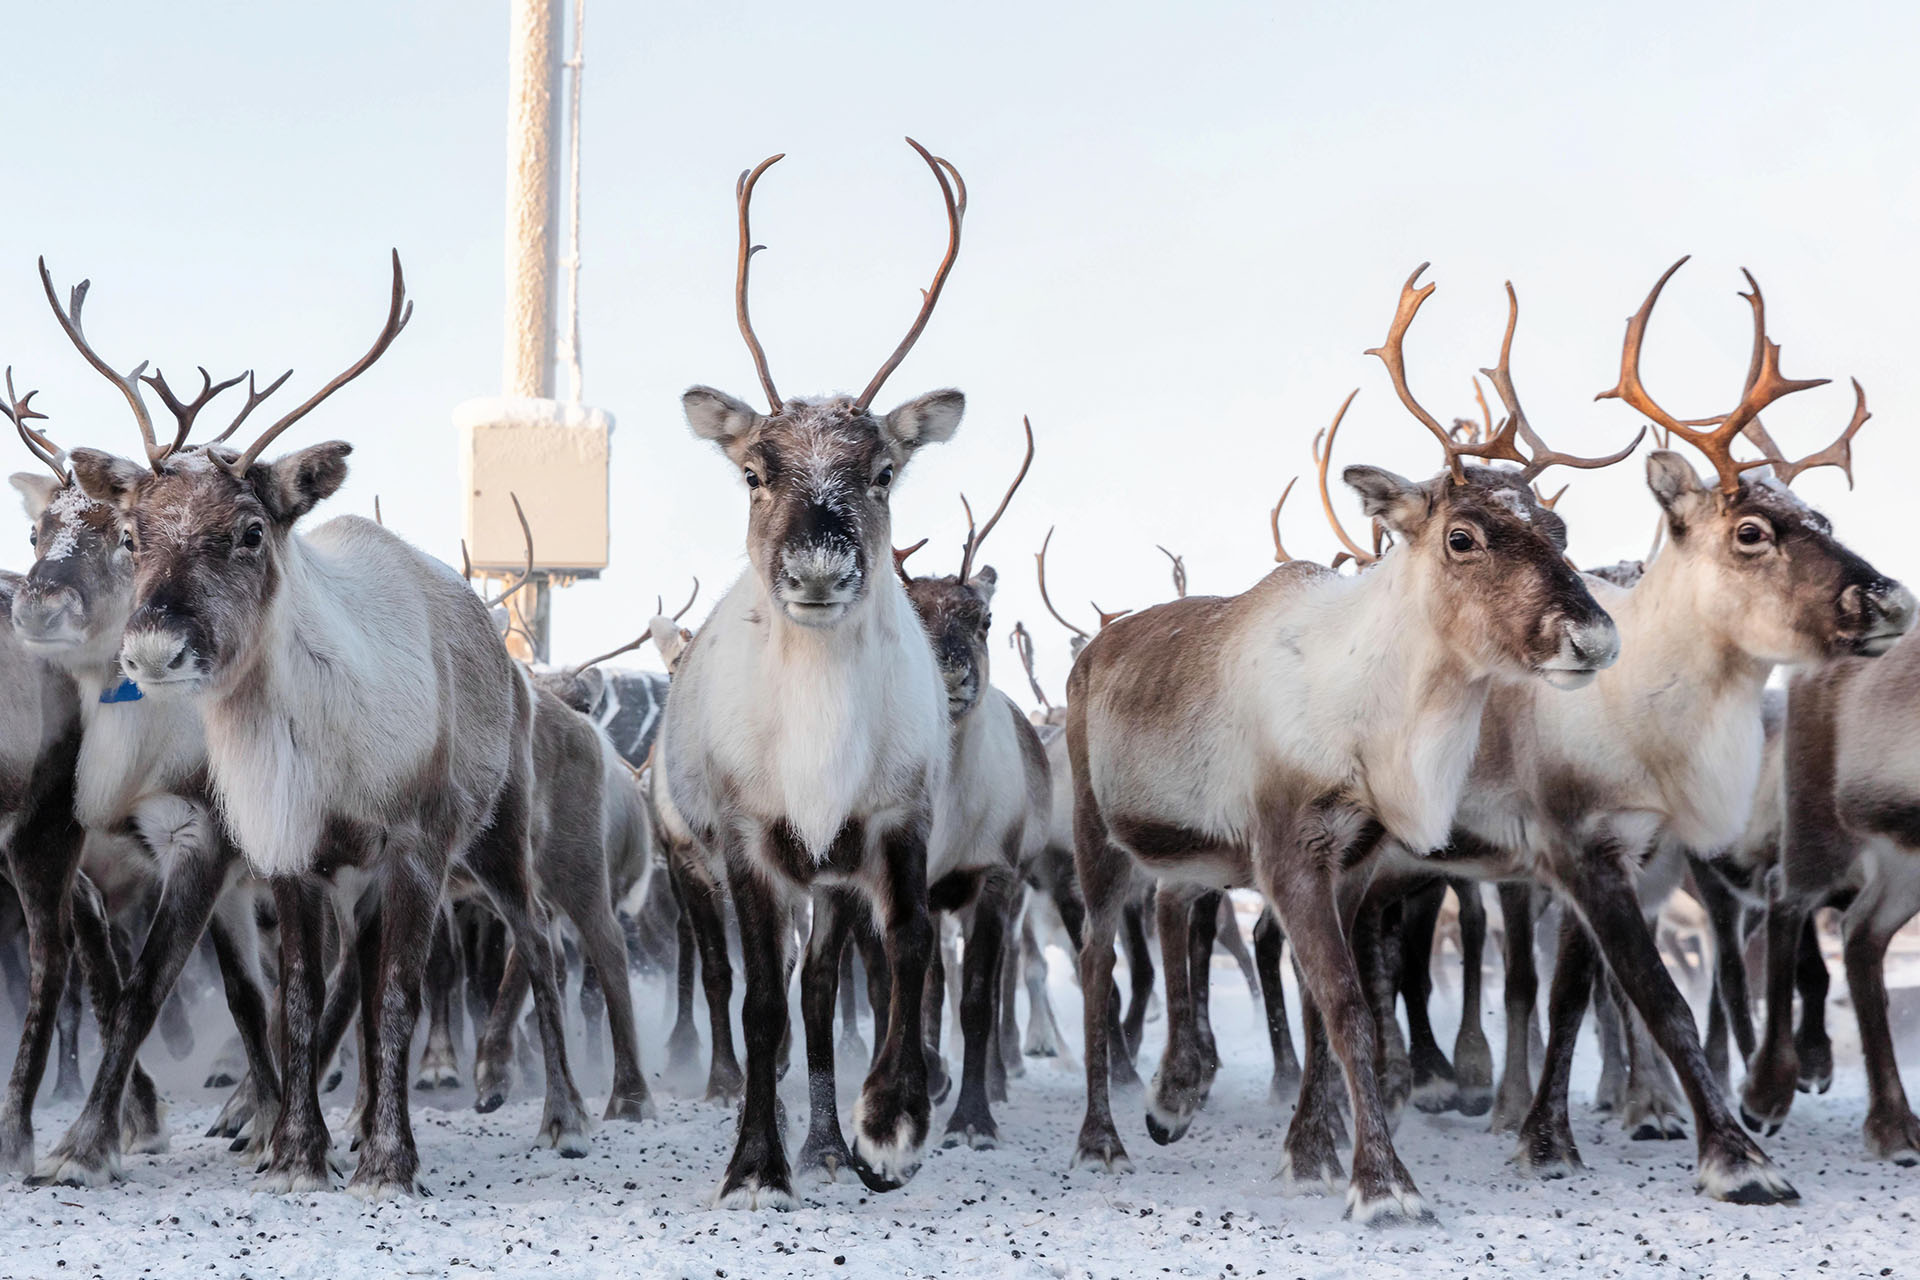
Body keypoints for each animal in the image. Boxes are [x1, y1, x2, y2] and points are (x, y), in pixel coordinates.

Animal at [64, 252, 595, 1196]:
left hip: (497, 834)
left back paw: (562, 1118)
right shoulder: (290, 855)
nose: (153, 646)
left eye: (249, 530)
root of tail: (512, 662)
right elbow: (303, 1000)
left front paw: (389, 1159)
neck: (323, 744)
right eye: (131, 533)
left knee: (537, 942)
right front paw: (298, 1152)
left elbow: (398, 996)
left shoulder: (415, 846)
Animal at [658, 138, 972, 1208]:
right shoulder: (750, 837)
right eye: (755, 471)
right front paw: (755, 1164)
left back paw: (831, 1142)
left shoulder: (893, 821)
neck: (819, 747)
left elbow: (903, 954)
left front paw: (891, 1124)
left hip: (828, 883)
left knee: (827, 986)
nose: (819, 569)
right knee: (770, 992)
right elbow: (761, 1005)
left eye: (883, 471)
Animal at [1064, 263, 1627, 1224]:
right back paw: (1103, 1137)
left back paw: (1172, 1100)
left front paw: (1312, 1151)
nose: (1592, 636)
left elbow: (1341, 1006)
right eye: (1463, 535)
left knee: (1171, 919)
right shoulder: (1290, 847)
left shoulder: (1358, 860)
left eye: (1558, 531)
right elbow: (1343, 1004)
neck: (1378, 727)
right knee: (1099, 966)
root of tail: (1093, 649)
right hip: (1098, 838)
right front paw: (1385, 1184)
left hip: (1190, 853)